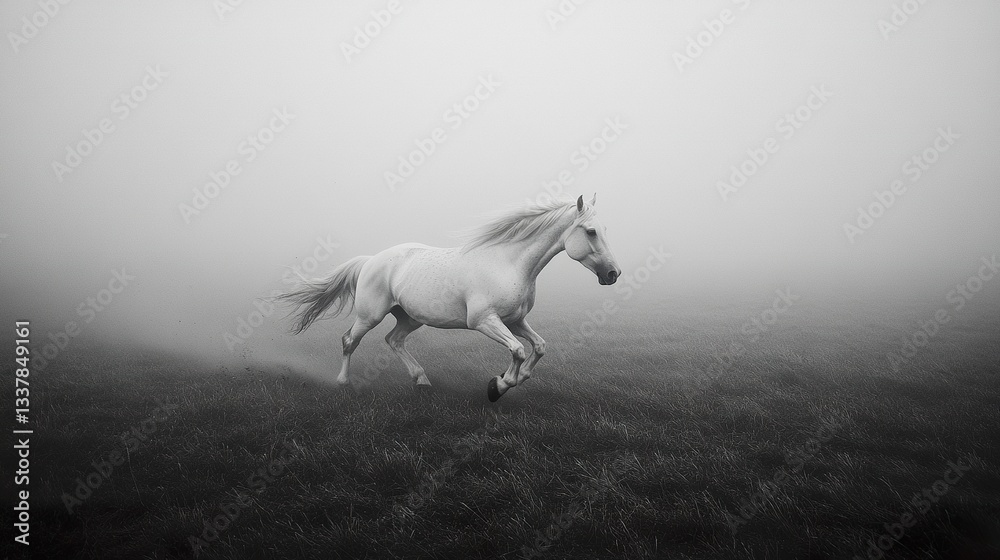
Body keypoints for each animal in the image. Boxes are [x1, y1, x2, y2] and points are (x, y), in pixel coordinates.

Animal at [277, 194, 620, 401]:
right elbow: (519, 350)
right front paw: (498, 386)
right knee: (350, 340)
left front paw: (514, 378)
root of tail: (371, 260)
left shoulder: (516, 320)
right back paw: (343, 382)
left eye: (604, 229)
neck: (508, 263)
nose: (613, 274)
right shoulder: (485, 321)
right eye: (591, 231)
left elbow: (539, 347)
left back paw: (421, 380)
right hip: (369, 315)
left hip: (410, 317)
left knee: (394, 340)